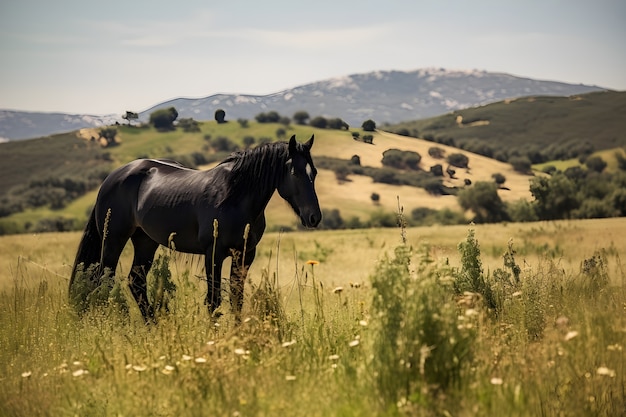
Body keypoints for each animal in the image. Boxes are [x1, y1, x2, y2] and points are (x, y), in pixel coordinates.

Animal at [70, 135, 320, 320]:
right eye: (294, 172)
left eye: (314, 172)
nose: (314, 217)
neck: (235, 196)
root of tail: (111, 179)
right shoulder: (213, 253)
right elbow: (213, 300)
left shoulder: (245, 254)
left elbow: (236, 299)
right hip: (113, 241)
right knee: (103, 280)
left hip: (145, 242)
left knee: (135, 282)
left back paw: (153, 326)